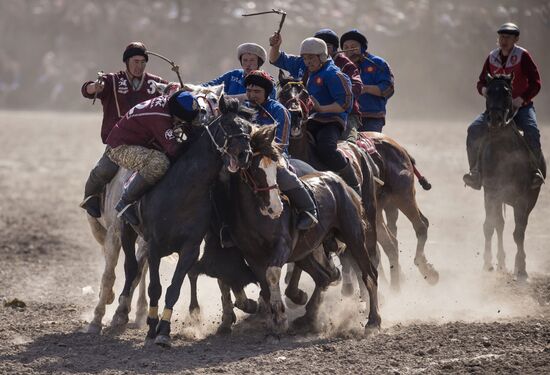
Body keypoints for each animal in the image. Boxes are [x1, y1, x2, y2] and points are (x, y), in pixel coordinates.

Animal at [115, 95, 256, 348]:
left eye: (249, 128)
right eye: (228, 125)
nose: (245, 155)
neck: (184, 190)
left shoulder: (190, 248)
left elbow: (174, 288)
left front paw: (163, 330)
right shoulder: (155, 246)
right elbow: (155, 288)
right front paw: (152, 327)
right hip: (127, 230)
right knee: (131, 267)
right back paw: (121, 312)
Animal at [222, 125, 382, 338]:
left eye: (277, 169)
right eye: (254, 170)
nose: (276, 207)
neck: (256, 216)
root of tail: (339, 181)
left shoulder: (282, 246)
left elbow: (272, 274)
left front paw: (280, 319)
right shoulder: (252, 256)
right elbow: (265, 284)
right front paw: (274, 320)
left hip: (354, 237)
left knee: (369, 274)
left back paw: (373, 321)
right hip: (305, 252)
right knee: (325, 277)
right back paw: (308, 318)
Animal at [280, 73, 440, 290]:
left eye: (305, 93)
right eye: (283, 93)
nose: (295, 113)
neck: (309, 154)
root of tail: (399, 148)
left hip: (402, 195)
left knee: (421, 225)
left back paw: (426, 271)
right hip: (380, 207)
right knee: (390, 244)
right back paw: (395, 286)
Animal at [478, 74, 544, 280]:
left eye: (507, 92)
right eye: (488, 92)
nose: (495, 119)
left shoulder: (522, 198)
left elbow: (519, 233)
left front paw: (521, 268)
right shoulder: (491, 193)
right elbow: (489, 226)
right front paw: (487, 263)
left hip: (528, 199)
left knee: (518, 227)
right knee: (499, 224)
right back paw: (500, 262)